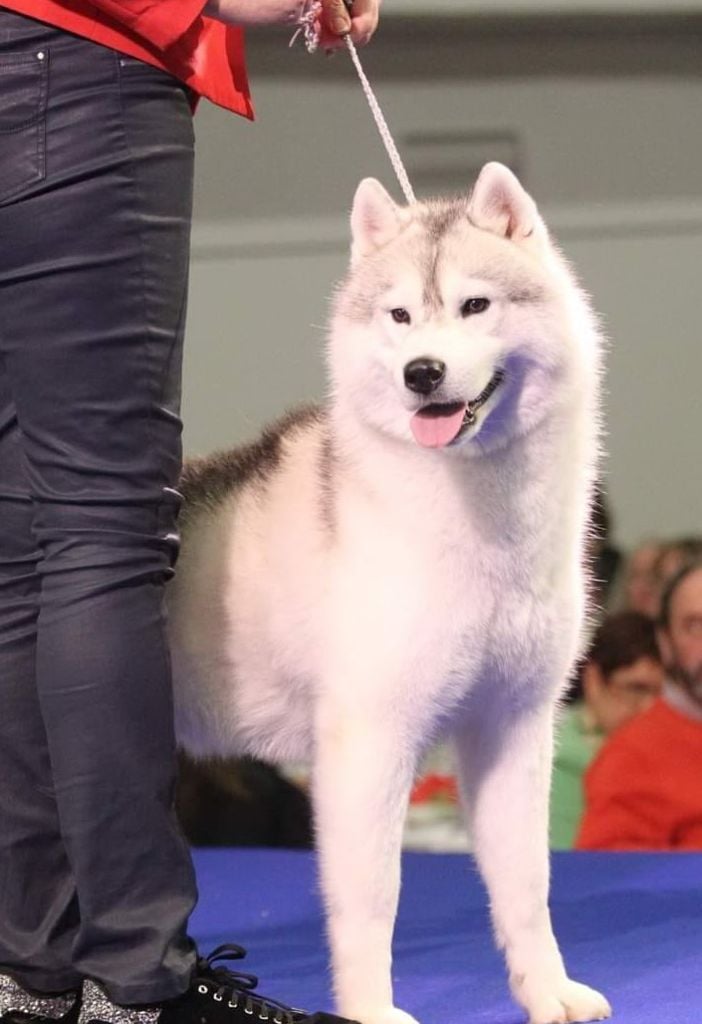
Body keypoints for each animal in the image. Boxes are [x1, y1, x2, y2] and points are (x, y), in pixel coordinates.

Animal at [167, 163, 613, 1024]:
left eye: (475, 305)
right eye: (400, 316)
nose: (422, 373)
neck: (477, 520)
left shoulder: (513, 725)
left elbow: (527, 884)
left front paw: (547, 992)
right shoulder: (369, 743)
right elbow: (374, 900)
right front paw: (371, 1011)